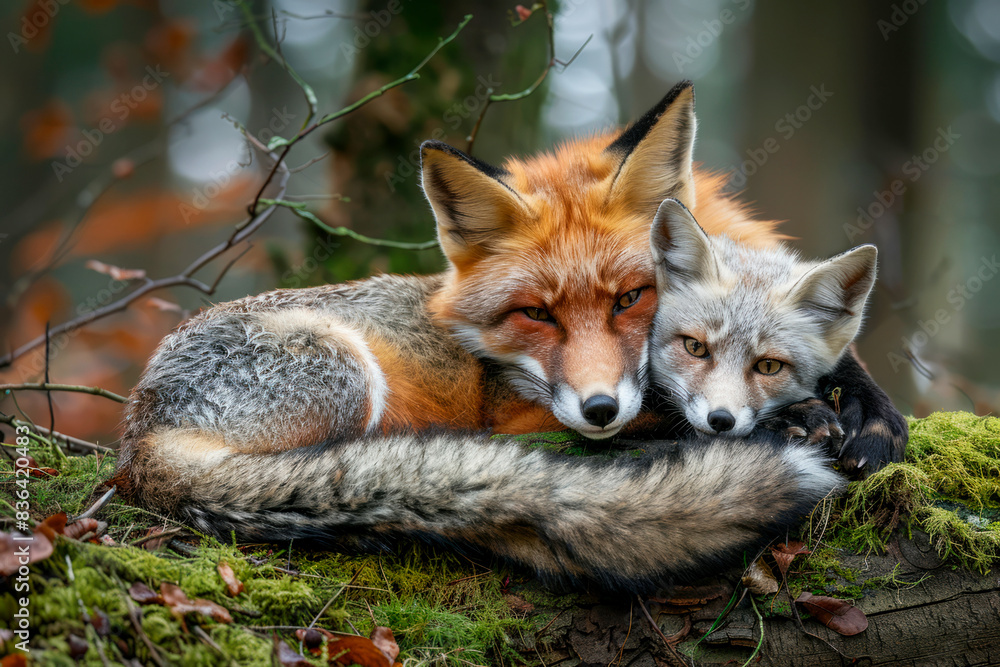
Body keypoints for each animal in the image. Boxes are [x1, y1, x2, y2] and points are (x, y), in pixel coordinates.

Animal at [111, 81, 906, 591]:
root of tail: (140, 435)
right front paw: (793, 421)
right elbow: (661, 415)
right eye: (536, 314)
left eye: (631, 298)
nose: (597, 409)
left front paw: (864, 417)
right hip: (346, 374)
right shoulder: (520, 414)